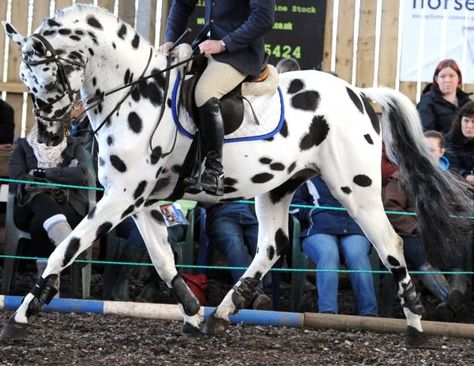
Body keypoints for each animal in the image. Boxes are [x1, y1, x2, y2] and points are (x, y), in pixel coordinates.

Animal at [1, 3, 472, 346]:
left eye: (47, 76)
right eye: (25, 79)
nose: (48, 136)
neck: (137, 91)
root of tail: (359, 92)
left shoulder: (122, 196)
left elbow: (66, 249)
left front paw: (21, 317)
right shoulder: (139, 200)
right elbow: (163, 260)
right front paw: (193, 315)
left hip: (355, 189)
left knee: (390, 243)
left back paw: (415, 329)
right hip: (278, 187)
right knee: (273, 246)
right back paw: (223, 312)